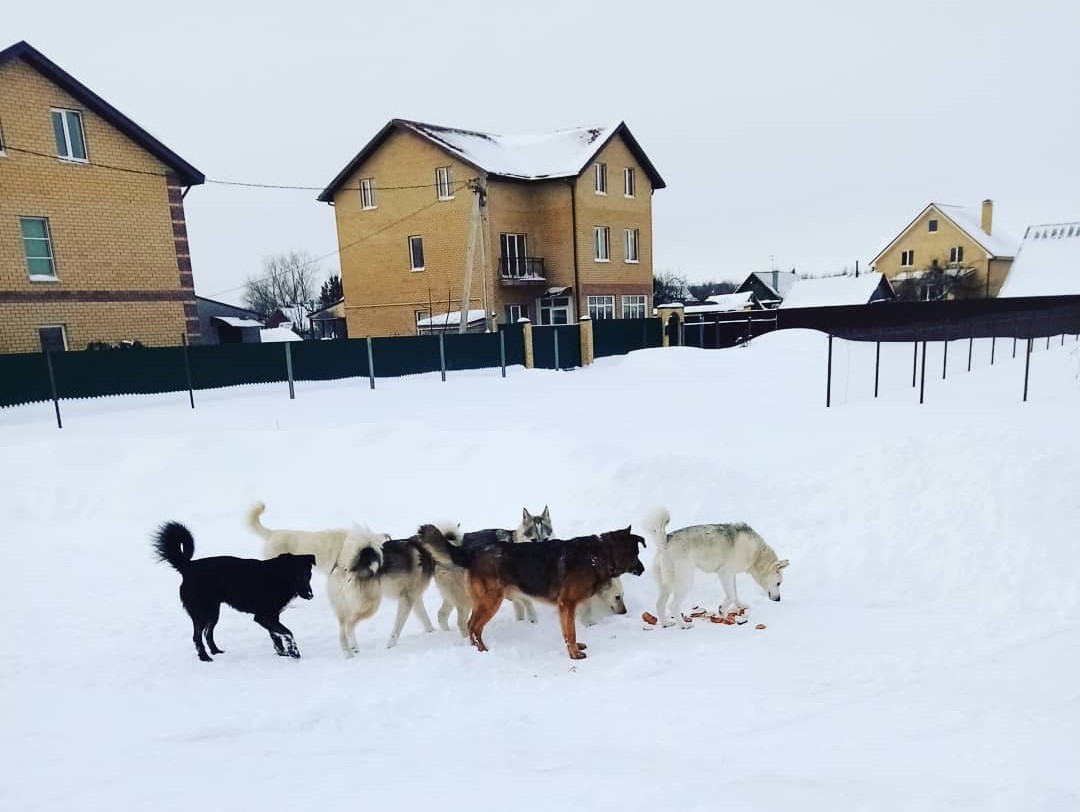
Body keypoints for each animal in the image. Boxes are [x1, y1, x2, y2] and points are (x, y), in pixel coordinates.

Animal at [154, 522, 317, 660]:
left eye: (308, 575)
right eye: (297, 576)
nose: (310, 596)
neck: (278, 577)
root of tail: (188, 566)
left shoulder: (272, 616)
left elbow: (276, 636)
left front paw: (282, 653)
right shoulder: (263, 616)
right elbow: (287, 632)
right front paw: (294, 653)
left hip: (213, 612)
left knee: (208, 633)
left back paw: (216, 651)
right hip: (202, 612)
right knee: (197, 636)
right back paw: (204, 657)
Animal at [416, 520, 643, 660]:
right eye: (637, 553)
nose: (642, 569)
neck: (598, 555)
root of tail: (470, 553)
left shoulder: (565, 608)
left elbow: (568, 632)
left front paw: (575, 648)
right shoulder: (567, 604)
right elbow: (571, 632)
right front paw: (574, 655)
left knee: (472, 626)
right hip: (491, 601)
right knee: (473, 626)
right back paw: (482, 650)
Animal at [643, 507, 790, 626]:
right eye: (779, 583)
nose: (779, 600)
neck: (756, 554)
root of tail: (665, 541)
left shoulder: (731, 576)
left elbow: (735, 594)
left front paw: (740, 606)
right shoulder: (725, 573)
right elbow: (731, 596)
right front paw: (722, 609)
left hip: (666, 586)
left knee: (659, 605)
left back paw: (666, 624)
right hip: (685, 582)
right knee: (673, 606)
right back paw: (684, 625)